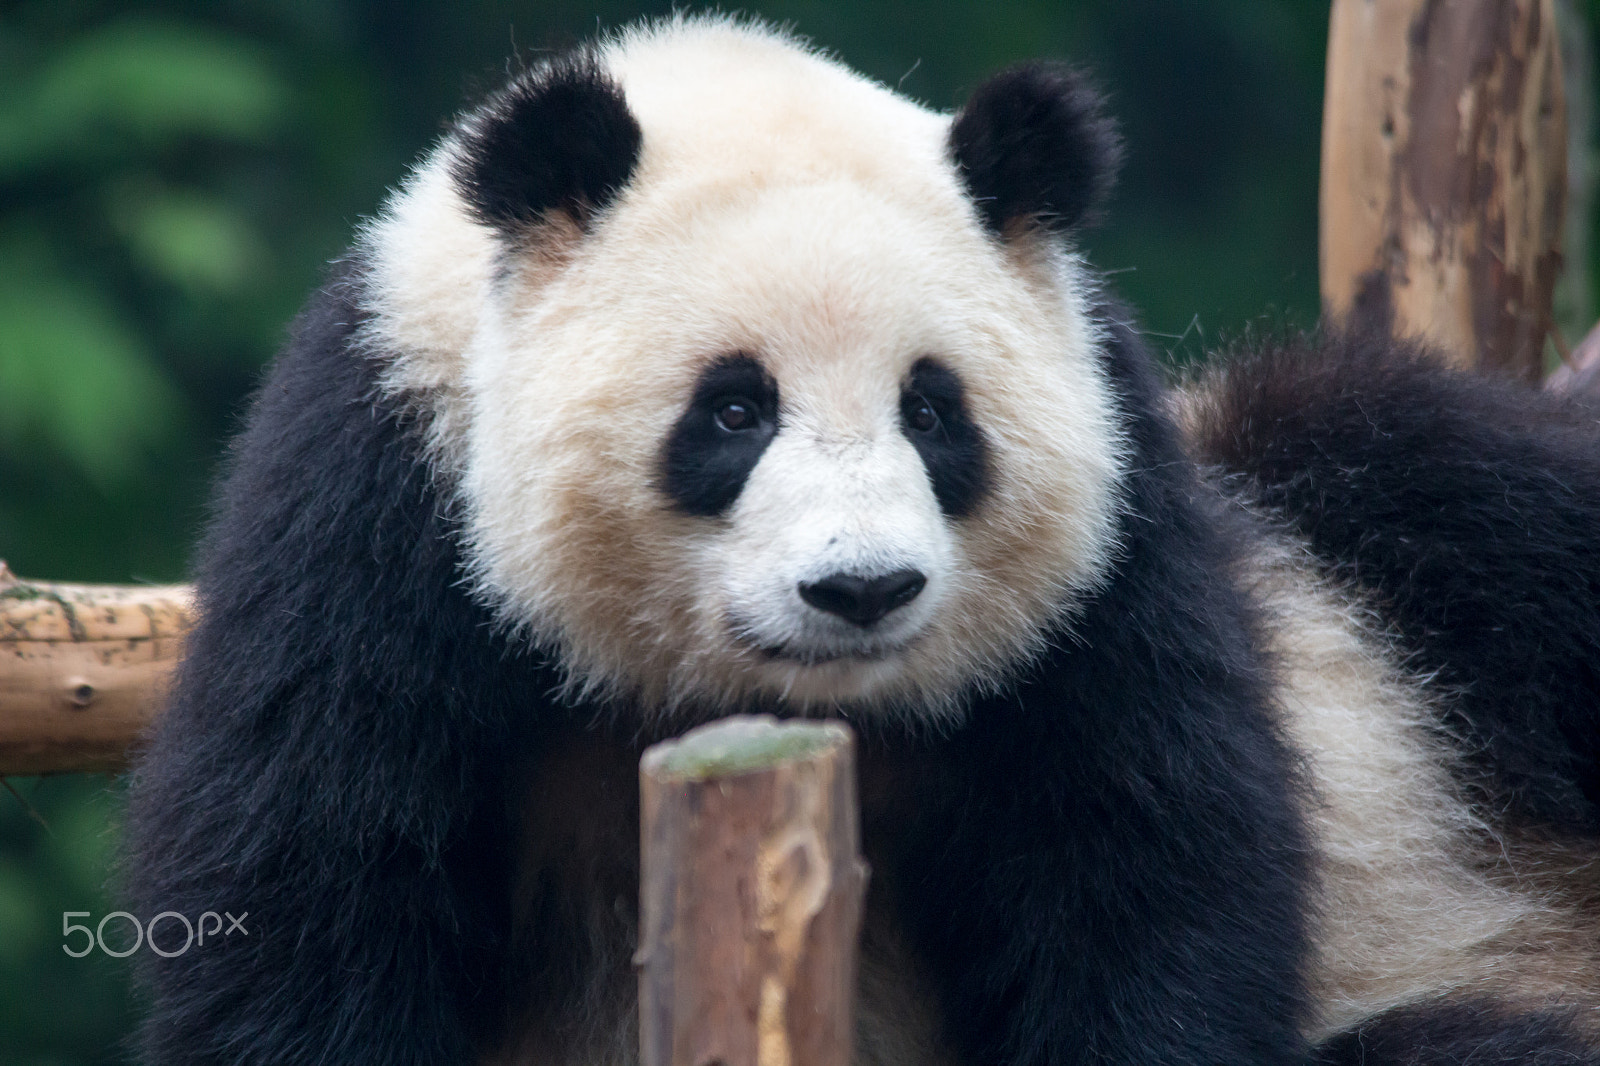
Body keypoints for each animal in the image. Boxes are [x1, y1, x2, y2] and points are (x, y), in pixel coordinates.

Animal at [125, 15, 1600, 1066]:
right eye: (732, 409)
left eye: (933, 410)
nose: (861, 587)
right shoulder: (376, 512)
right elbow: (312, 889)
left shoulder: (1121, 556)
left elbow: (1143, 866)